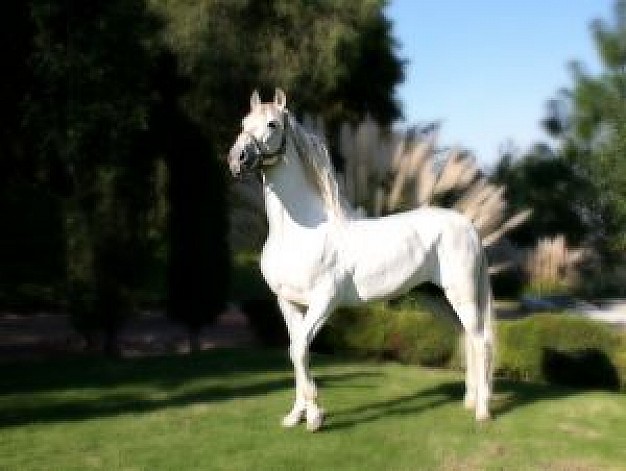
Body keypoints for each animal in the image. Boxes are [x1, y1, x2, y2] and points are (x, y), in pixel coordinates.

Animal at [227, 88, 494, 432]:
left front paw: (315, 416)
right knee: (467, 339)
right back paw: (469, 401)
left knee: (482, 342)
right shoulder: (287, 303)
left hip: (462, 294)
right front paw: (296, 415)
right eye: (243, 122)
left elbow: (300, 350)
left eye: (272, 124)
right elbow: (295, 351)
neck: (299, 232)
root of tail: (469, 226)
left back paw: (483, 412)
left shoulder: (324, 301)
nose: (237, 159)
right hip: (436, 297)